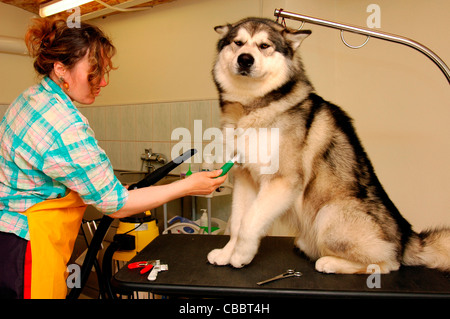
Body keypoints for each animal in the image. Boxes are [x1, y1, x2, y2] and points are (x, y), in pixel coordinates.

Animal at [207, 16, 450, 276]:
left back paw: (330, 262)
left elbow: (249, 222)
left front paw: (241, 255)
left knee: (388, 263)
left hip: (328, 213)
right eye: (238, 43)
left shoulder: (282, 180)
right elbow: (237, 222)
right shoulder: (245, 177)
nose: (245, 58)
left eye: (264, 46)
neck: (252, 106)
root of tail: (407, 238)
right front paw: (227, 253)